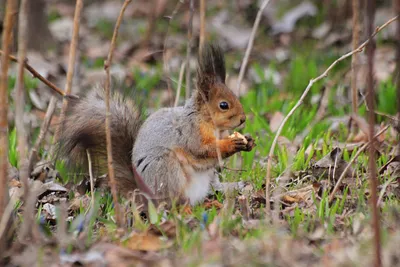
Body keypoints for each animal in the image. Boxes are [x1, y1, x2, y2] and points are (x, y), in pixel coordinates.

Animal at [57, 44, 255, 205]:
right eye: (224, 105)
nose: (243, 119)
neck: (210, 124)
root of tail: (144, 194)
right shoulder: (190, 133)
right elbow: (203, 149)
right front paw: (232, 143)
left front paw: (249, 141)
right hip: (165, 168)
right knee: (172, 203)